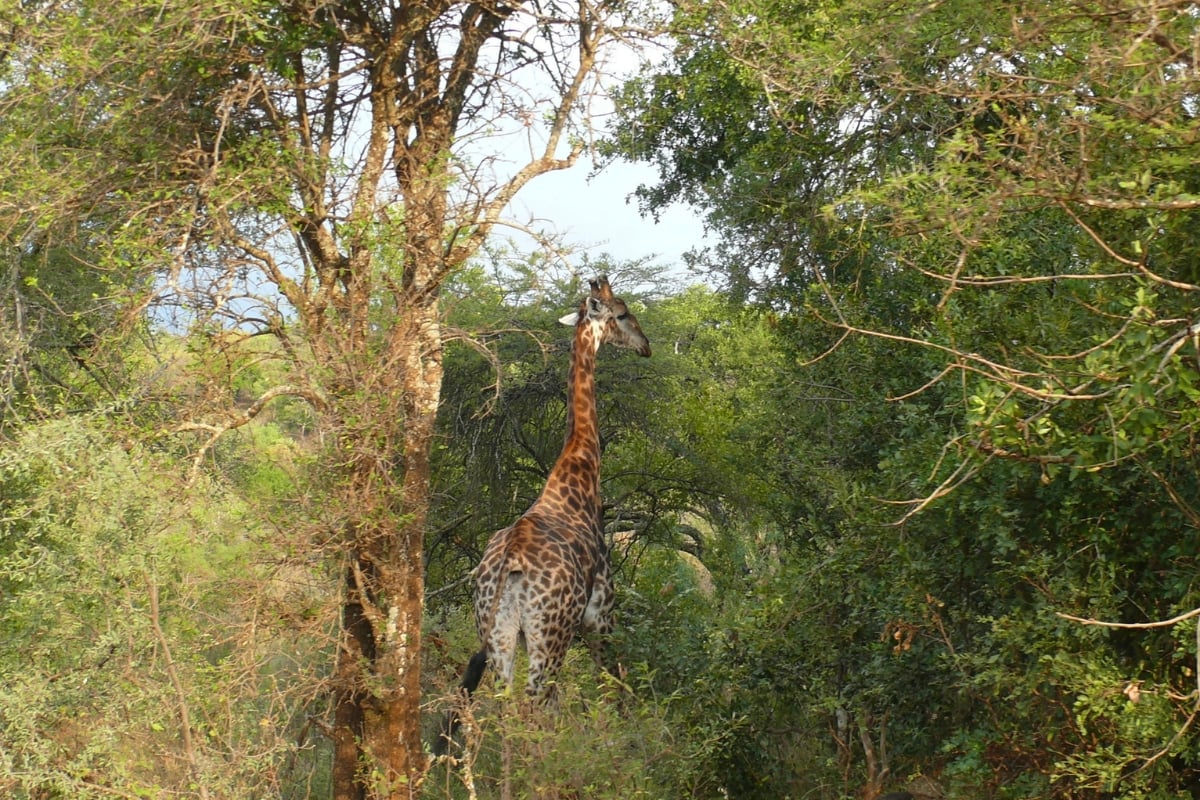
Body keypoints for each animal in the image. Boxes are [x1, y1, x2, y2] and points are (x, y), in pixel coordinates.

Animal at [436, 273, 652, 753]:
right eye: (623, 312)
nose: (646, 345)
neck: (579, 467)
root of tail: (511, 563)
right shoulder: (600, 613)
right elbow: (617, 682)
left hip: (497, 634)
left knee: (507, 713)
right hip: (548, 635)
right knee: (536, 708)